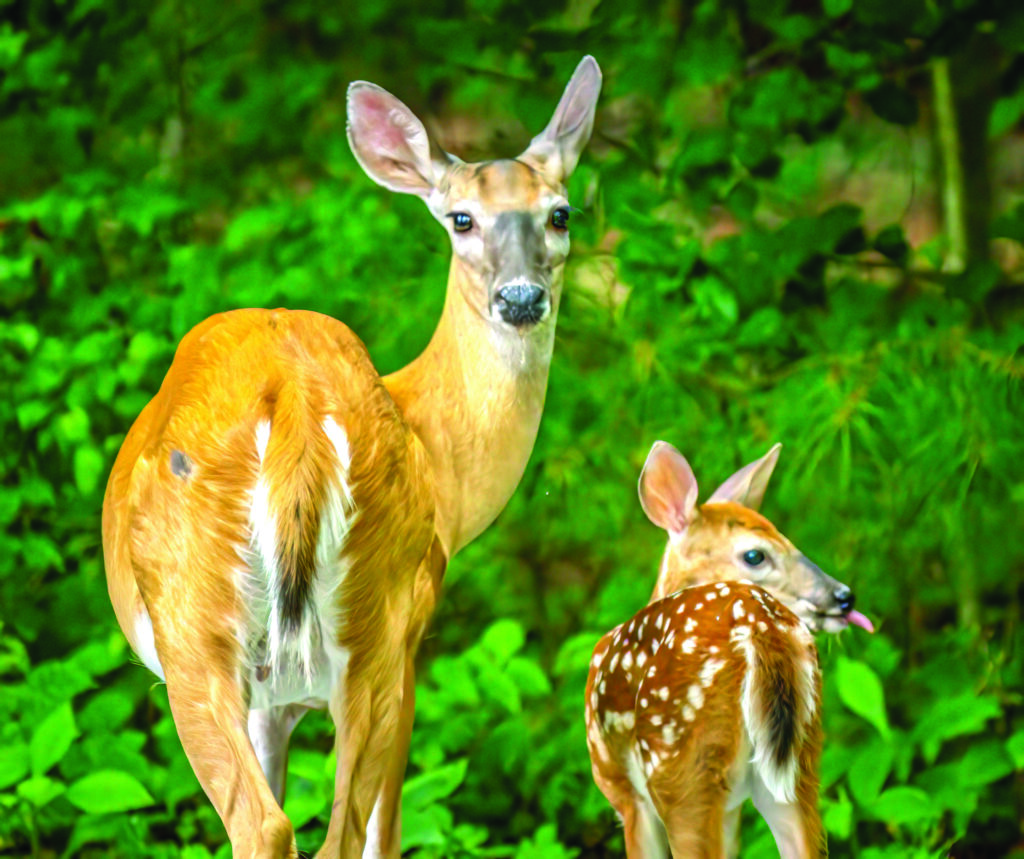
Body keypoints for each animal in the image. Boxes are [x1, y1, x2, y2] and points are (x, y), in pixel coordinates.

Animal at [102, 57, 601, 858]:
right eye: (461, 218)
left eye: (560, 213)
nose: (521, 298)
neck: (439, 460)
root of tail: (295, 405)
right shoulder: (409, 633)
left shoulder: (307, 681)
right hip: (351, 623)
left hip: (231, 627)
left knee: (275, 826)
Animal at [585, 441, 874, 859]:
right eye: (755, 555)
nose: (843, 596)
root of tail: (759, 629)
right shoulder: (732, 808)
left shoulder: (625, 794)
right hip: (798, 768)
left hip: (677, 765)